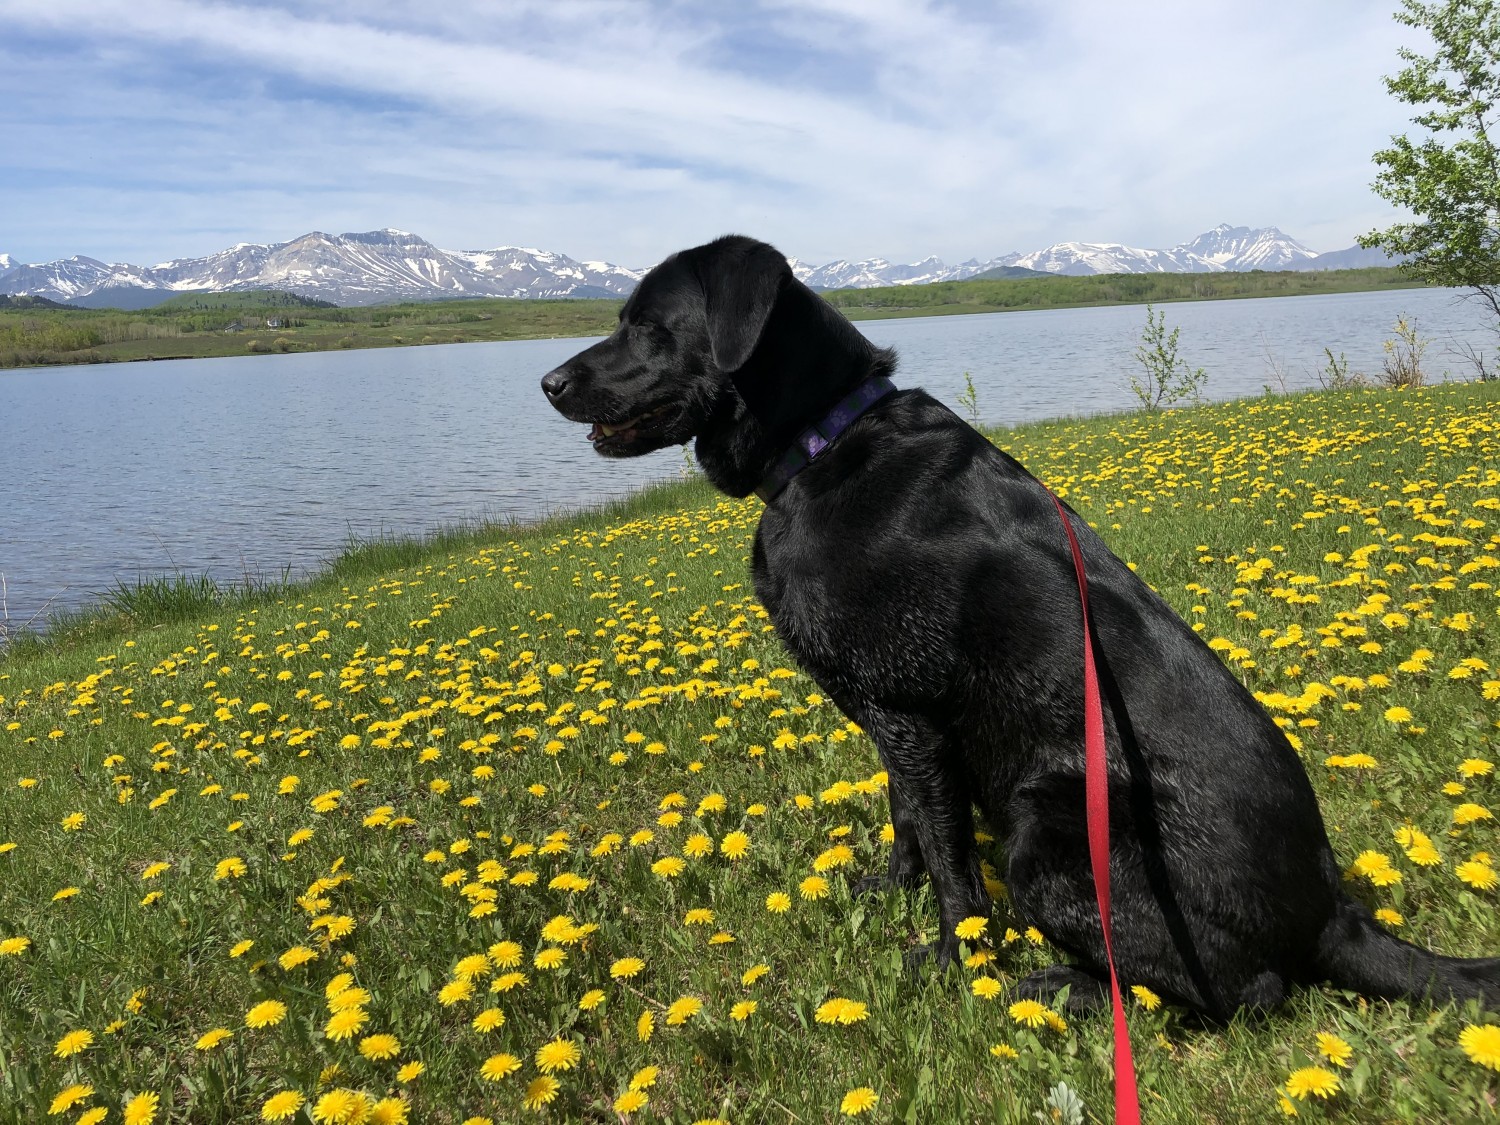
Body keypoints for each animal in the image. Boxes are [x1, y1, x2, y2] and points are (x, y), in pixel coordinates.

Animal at [543, 234, 1500, 1020]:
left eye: (648, 327)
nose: (548, 383)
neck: (824, 443)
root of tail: (1334, 912)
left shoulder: (909, 711)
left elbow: (950, 861)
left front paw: (957, 962)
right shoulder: (894, 718)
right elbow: (906, 825)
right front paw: (890, 893)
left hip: (1047, 830)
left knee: (1245, 991)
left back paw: (1062, 987)